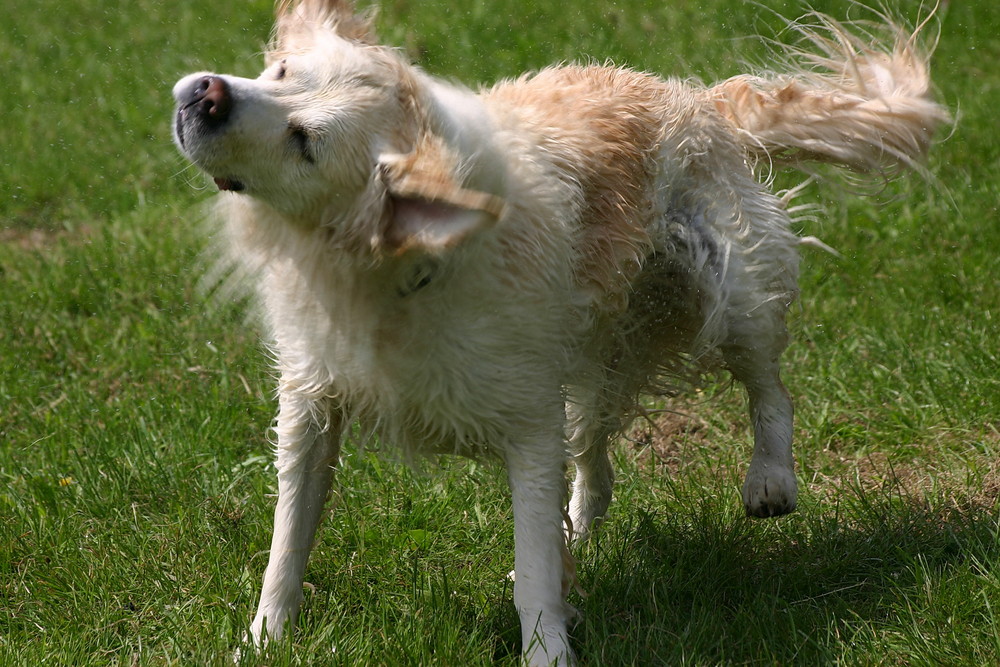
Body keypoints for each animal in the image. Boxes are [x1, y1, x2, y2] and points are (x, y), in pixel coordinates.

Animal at [170, 2, 944, 664]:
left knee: (767, 387)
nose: (204, 93)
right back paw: (584, 518)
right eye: (279, 74)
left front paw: (547, 650)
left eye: (306, 143)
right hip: (596, 352)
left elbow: (535, 569)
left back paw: (770, 479)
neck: (395, 270)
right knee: (594, 453)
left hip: (731, 292)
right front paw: (265, 639)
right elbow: (288, 539)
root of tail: (694, 97)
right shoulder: (312, 400)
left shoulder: (526, 425)